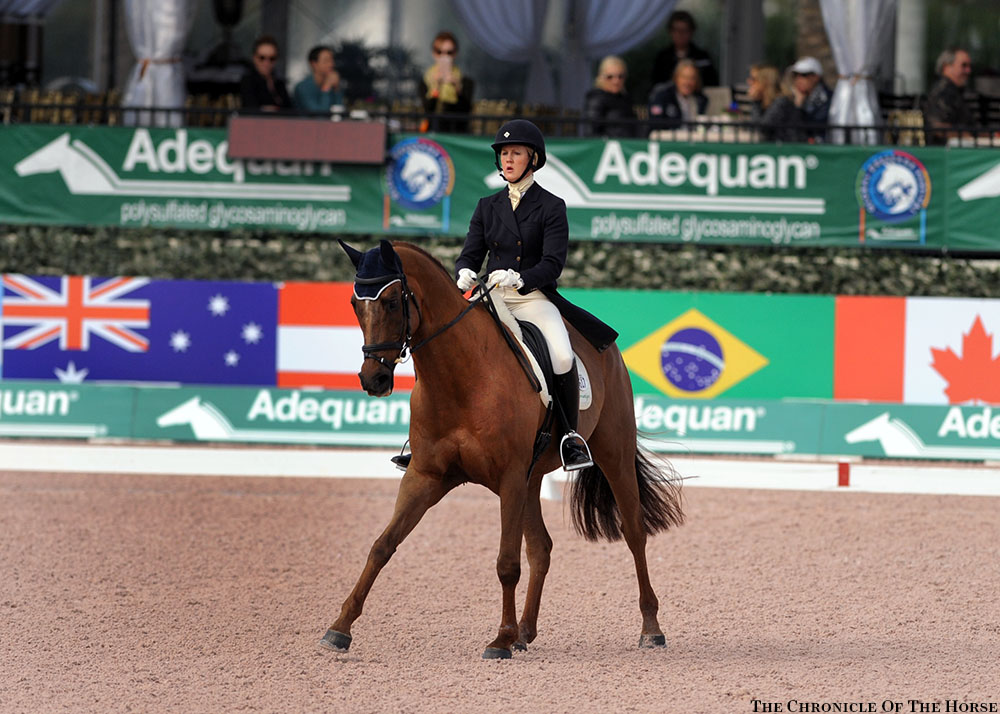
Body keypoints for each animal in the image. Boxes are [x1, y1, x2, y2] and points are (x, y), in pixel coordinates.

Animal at [324, 239, 684, 656]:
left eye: (394, 301)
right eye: (355, 303)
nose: (374, 379)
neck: (461, 378)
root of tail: (604, 348)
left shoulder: (509, 477)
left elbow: (506, 563)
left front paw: (500, 639)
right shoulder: (425, 475)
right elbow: (382, 545)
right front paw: (339, 628)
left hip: (613, 451)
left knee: (634, 532)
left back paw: (650, 628)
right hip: (532, 479)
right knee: (541, 547)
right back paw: (526, 632)